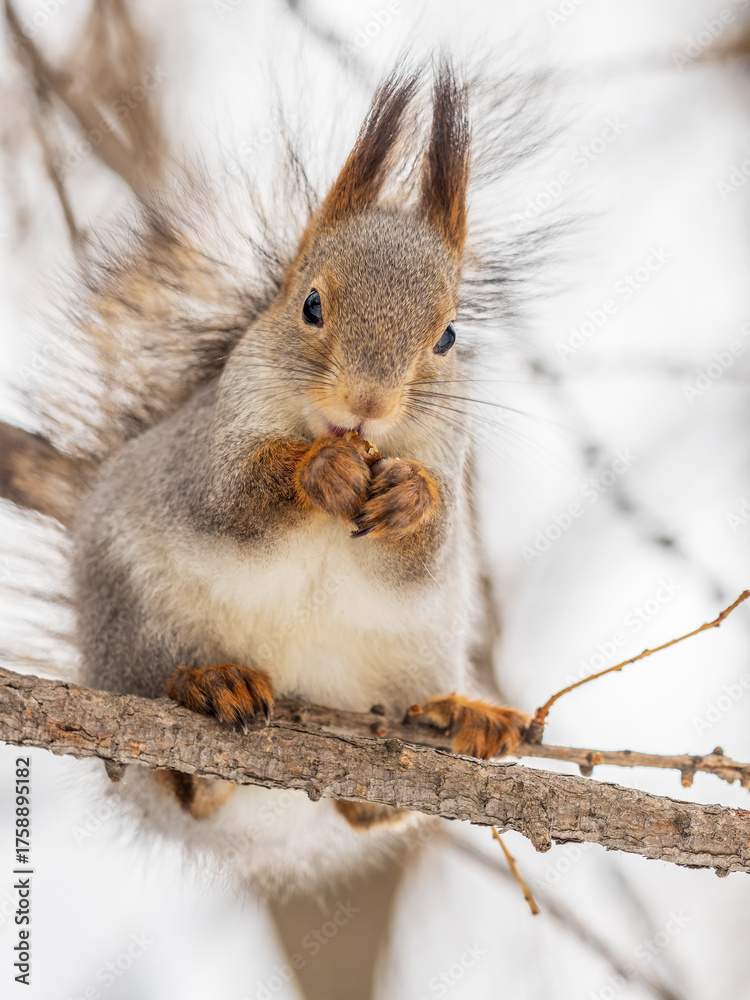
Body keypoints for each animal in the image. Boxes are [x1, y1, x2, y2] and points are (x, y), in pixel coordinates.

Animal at [55, 62, 538, 894]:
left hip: (414, 653)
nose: (367, 404)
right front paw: (321, 471)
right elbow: (230, 498)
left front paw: (411, 498)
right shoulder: (207, 452)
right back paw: (210, 691)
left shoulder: (449, 457)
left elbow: (429, 547)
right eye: (310, 304)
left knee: (368, 809)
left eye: (448, 336)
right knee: (173, 771)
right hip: (132, 623)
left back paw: (456, 716)